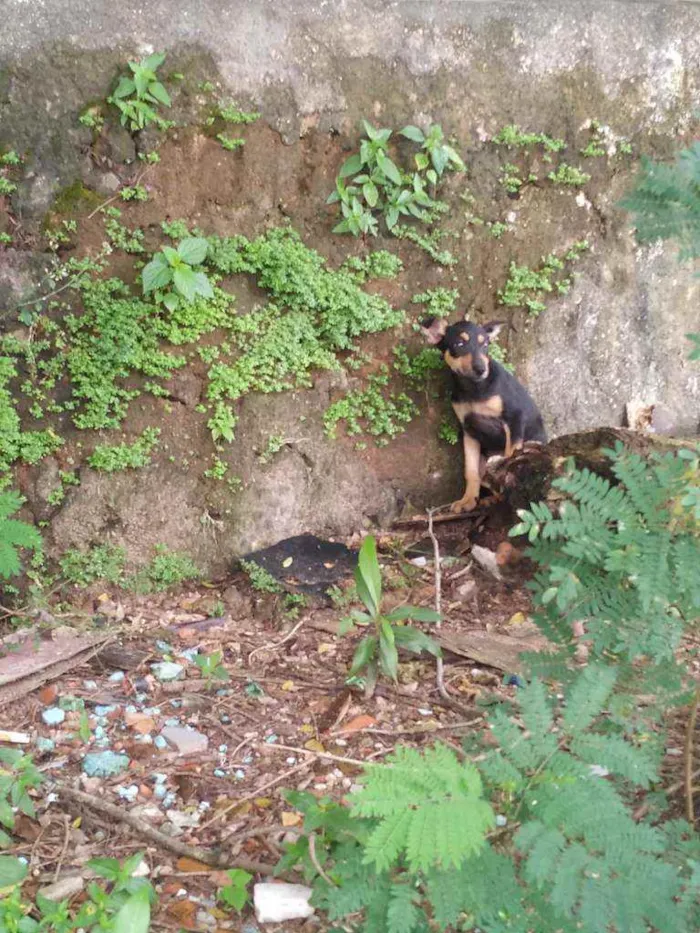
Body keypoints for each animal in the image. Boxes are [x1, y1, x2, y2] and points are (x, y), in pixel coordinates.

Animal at [422, 316, 548, 512]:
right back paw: (489, 499)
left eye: (485, 345)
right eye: (459, 344)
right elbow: (470, 471)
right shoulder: (469, 430)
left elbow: (510, 454)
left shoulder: (514, 417)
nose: (481, 369)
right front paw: (467, 500)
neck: (474, 389)